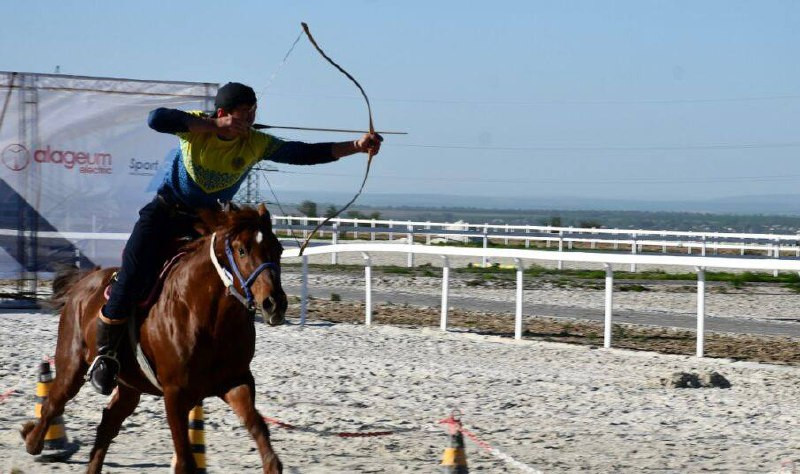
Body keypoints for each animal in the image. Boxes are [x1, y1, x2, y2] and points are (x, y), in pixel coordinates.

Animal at [18, 204, 290, 474]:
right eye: (242, 250)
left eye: (278, 248)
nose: (274, 303)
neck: (205, 316)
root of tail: (82, 284)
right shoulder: (175, 394)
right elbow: (185, 461)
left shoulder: (235, 381)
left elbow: (258, 429)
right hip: (72, 366)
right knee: (52, 404)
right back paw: (32, 440)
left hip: (130, 385)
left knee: (108, 423)